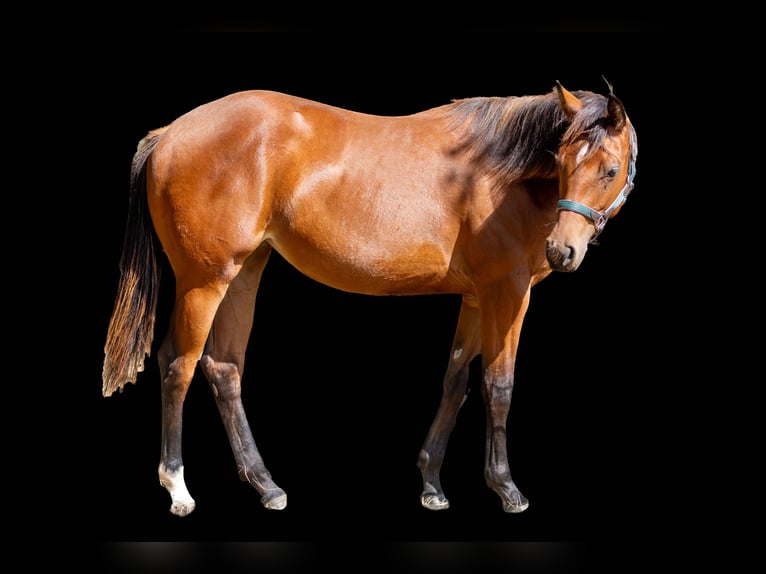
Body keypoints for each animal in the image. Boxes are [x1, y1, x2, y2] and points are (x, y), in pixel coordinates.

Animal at [103, 80, 637, 518]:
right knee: (179, 367)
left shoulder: (475, 299)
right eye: (563, 162)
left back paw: (266, 486)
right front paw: (506, 488)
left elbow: (455, 381)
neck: (501, 174)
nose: (561, 251)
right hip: (205, 281)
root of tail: (169, 133)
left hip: (243, 273)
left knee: (224, 368)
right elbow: (498, 386)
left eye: (609, 169)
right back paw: (178, 487)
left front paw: (431, 483)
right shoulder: (507, 293)